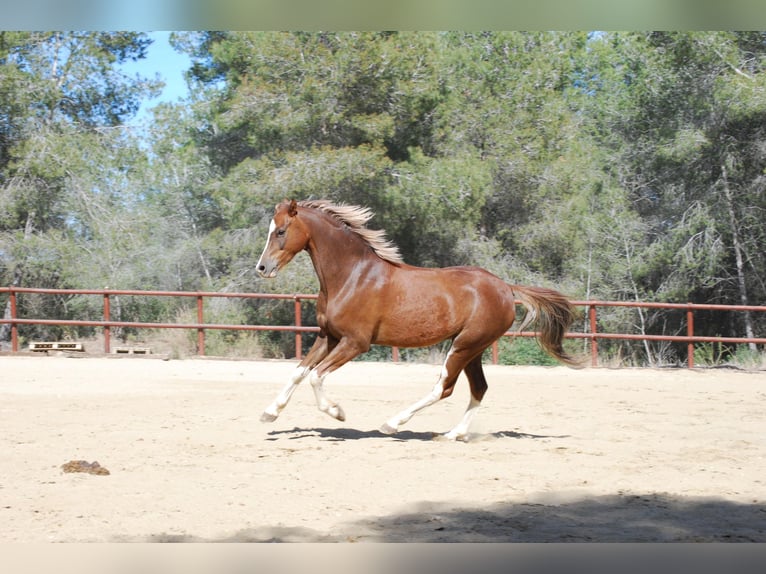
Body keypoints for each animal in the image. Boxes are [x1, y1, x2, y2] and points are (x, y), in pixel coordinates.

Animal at [255, 199, 580, 440]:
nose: (262, 268)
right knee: (478, 388)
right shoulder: (328, 336)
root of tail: (505, 287)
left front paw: (337, 412)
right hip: (473, 349)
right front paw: (269, 413)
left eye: (281, 231)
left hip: (464, 346)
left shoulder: (356, 343)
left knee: (443, 387)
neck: (351, 276)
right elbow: (299, 372)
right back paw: (453, 434)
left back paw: (393, 423)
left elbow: (316, 375)